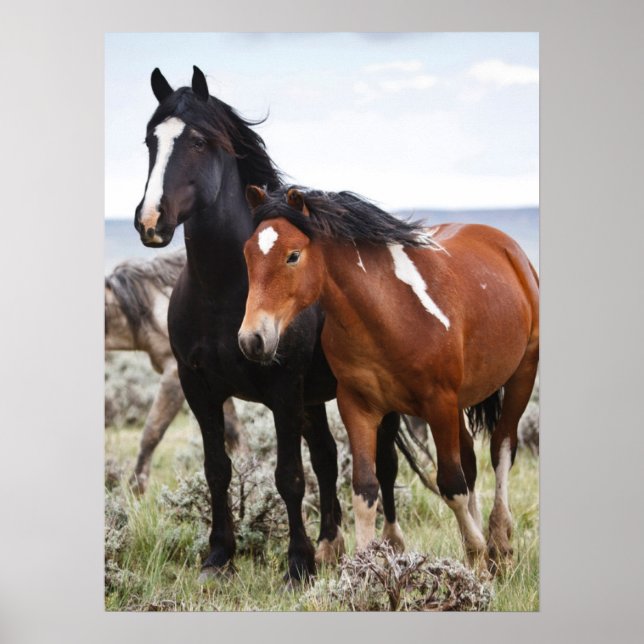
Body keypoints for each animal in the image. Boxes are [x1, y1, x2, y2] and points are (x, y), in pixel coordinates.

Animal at [132, 67, 431, 582]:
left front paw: (296, 565)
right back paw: (330, 546)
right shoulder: (199, 386)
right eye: (152, 140)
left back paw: (387, 547)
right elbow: (218, 468)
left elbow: (289, 476)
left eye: (197, 141)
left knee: (385, 464)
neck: (226, 291)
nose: (151, 221)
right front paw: (218, 556)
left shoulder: (282, 388)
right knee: (327, 458)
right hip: (314, 400)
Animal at [239, 185, 540, 574]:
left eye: (293, 255)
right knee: (471, 460)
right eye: (247, 253)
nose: (252, 340)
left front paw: (477, 554)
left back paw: (499, 542)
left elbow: (451, 483)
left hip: (521, 378)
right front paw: (363, 568)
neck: (391, 312)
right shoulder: (359, 407)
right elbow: (365, 489)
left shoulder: (438, 403)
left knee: (501, 449)